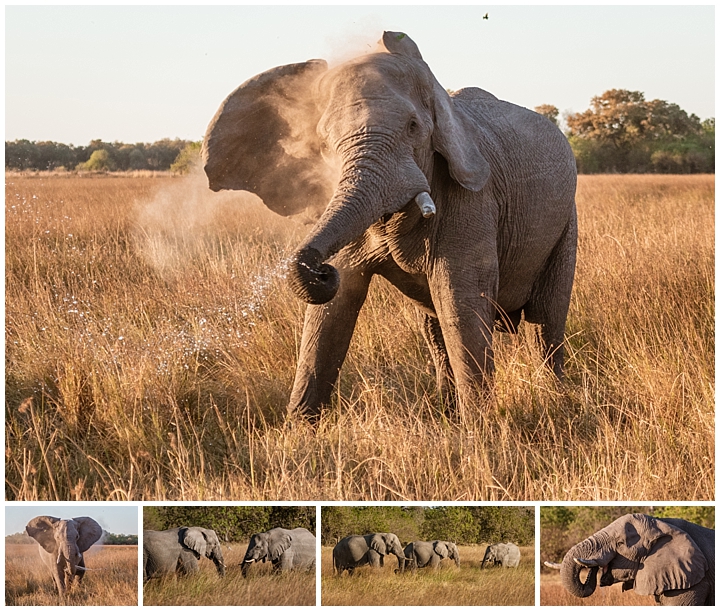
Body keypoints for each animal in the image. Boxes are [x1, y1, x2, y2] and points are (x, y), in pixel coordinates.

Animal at [202, 31, 580, 418]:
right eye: (324, 144)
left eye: (413, 128)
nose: (321, 270)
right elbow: (330, 315)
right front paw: (298, 429)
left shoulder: (473, 197)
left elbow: (460, 301)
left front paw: (482, 427)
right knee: (434, 328)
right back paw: (447, 413)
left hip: (567, 223)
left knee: (546, 320)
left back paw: (557, 399)